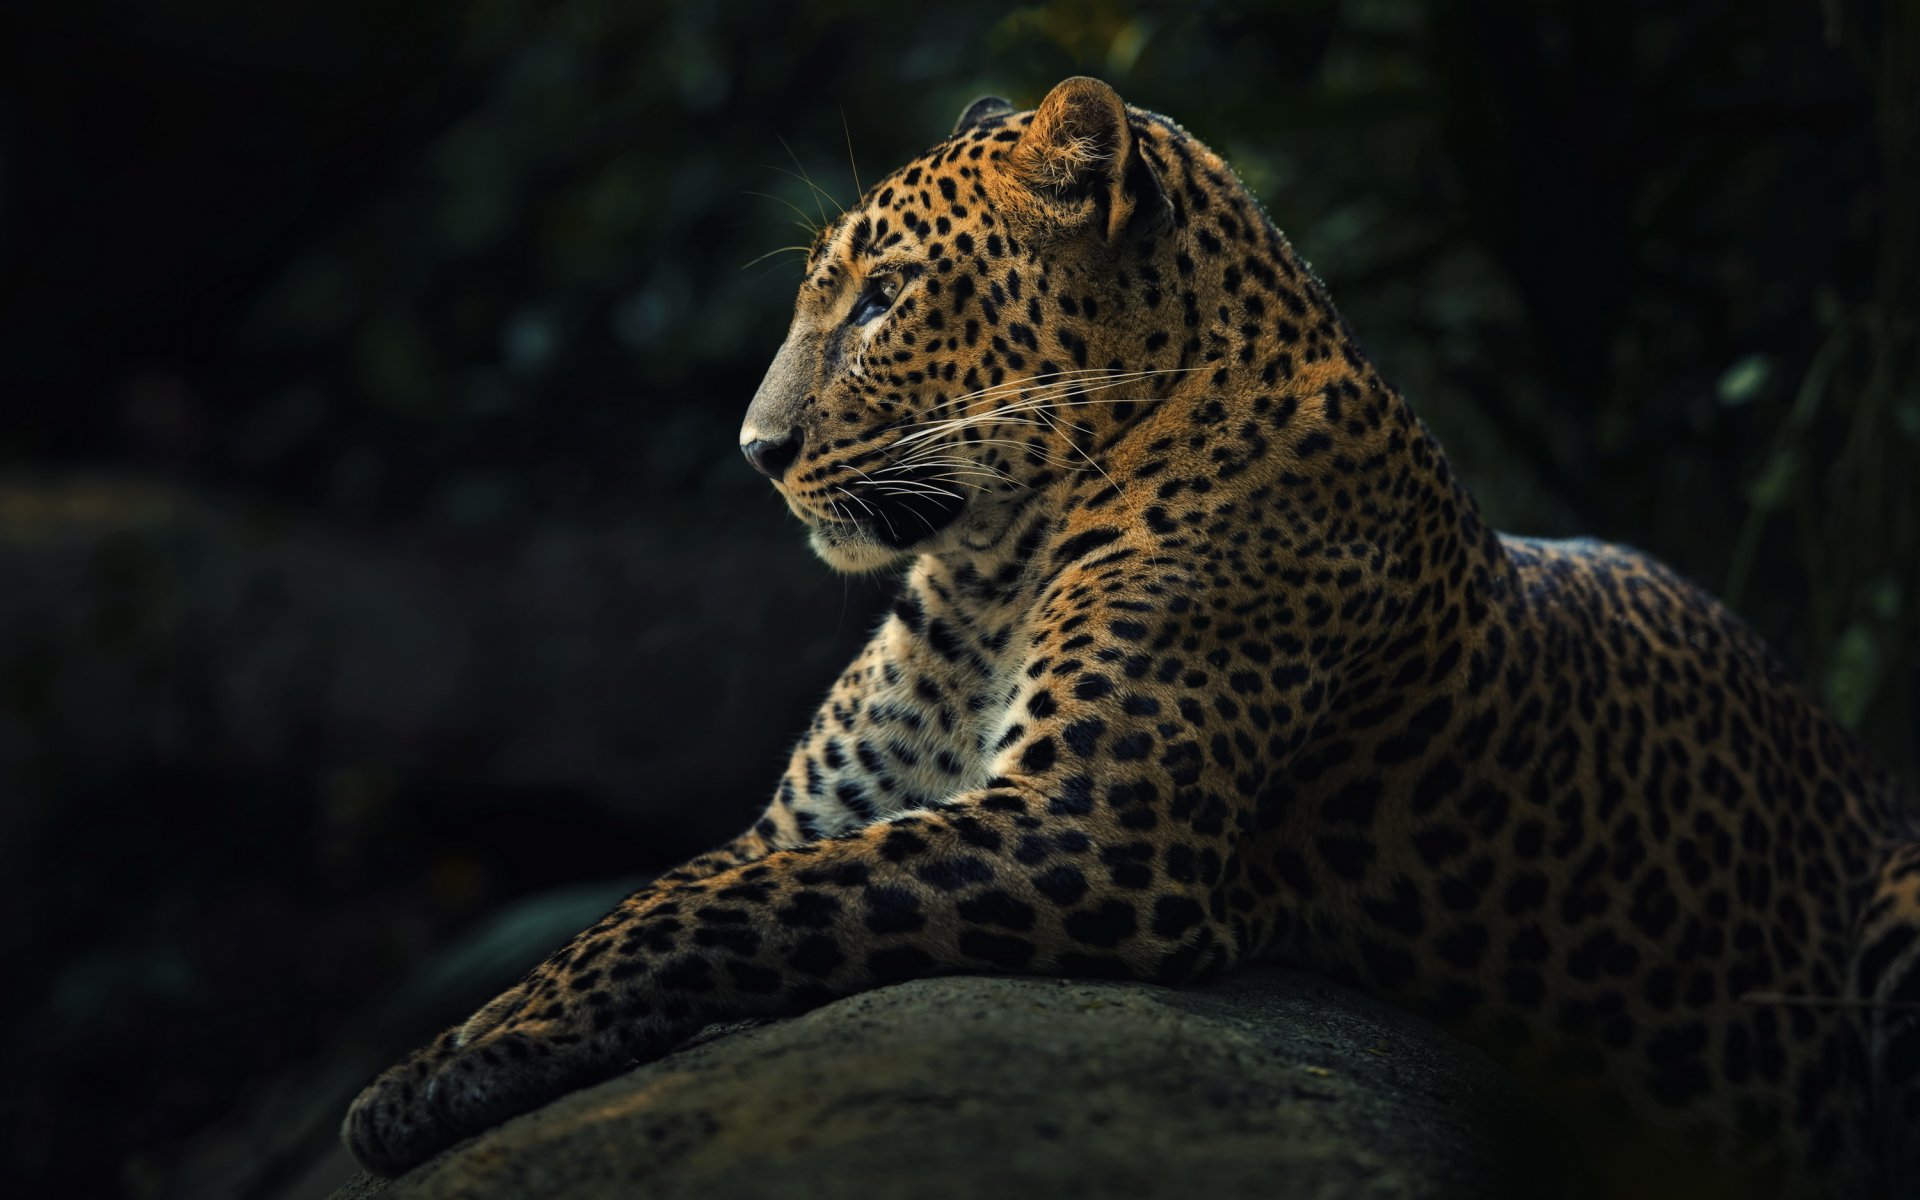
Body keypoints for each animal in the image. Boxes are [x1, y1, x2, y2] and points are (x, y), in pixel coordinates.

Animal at [342, 78, 1919, 1196]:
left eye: (884, 296)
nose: (756, 453)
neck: (982, 575)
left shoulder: (1091, 834)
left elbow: (706, 910)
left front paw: (440, 1080)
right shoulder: (812, 815)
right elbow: (653, 899)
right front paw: (447, 1056)